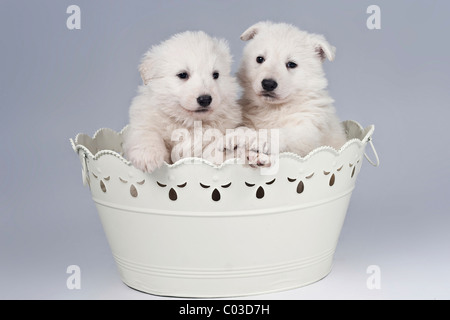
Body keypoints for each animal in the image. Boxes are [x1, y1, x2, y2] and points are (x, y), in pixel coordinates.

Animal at [123, 31, 243, 172]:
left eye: (215, 75)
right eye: (182, 75)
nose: (205, 99)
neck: (189, 123)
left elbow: (215, 146)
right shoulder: (145, 119)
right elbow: (147, 133)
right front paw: (147, 157)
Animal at [237, 20, 346, 159]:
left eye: (291, 64)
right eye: (260, 59)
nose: (268, 84)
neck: (274, 109)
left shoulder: (309, 126)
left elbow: (284, 133)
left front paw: (261, 139)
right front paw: (242, 133)